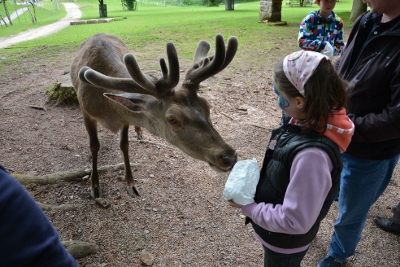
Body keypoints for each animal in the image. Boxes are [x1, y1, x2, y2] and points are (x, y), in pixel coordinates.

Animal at [70, 33, 238, 199]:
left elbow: (124, 145)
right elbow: (94, 145)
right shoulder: (86, 111)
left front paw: (131, 184)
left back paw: (139, 132)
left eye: (207, 106)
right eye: (173, 120)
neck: (110, 113)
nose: (230, 157)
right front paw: (95, 186)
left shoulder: (125, 118)